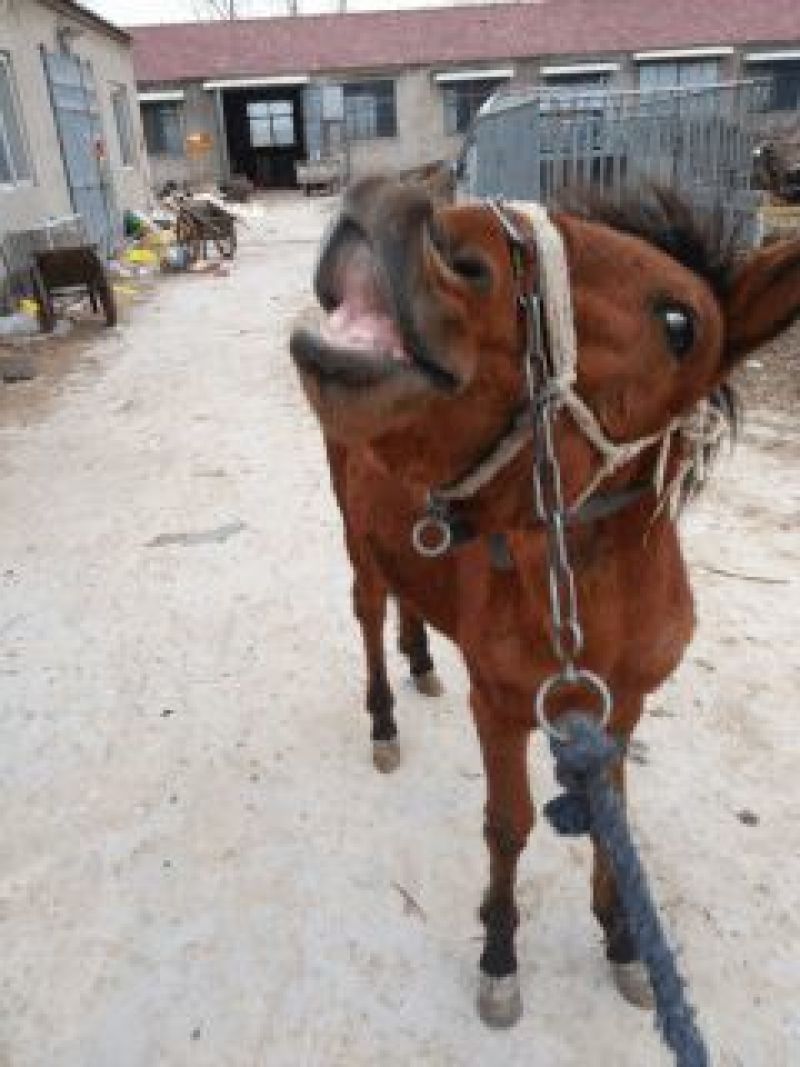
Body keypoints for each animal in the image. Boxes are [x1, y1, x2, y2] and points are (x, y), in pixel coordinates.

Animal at [290, 176, 800, 1028]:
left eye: (680, 324)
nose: (397, 206)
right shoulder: (498, 707)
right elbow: (509, 826)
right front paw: (499, 956)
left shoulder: (620, 709)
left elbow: (610, 819)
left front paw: (623, 940)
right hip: (356, 540)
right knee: (368, 612)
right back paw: (385, 719)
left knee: (408, 596)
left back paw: (421, 658)